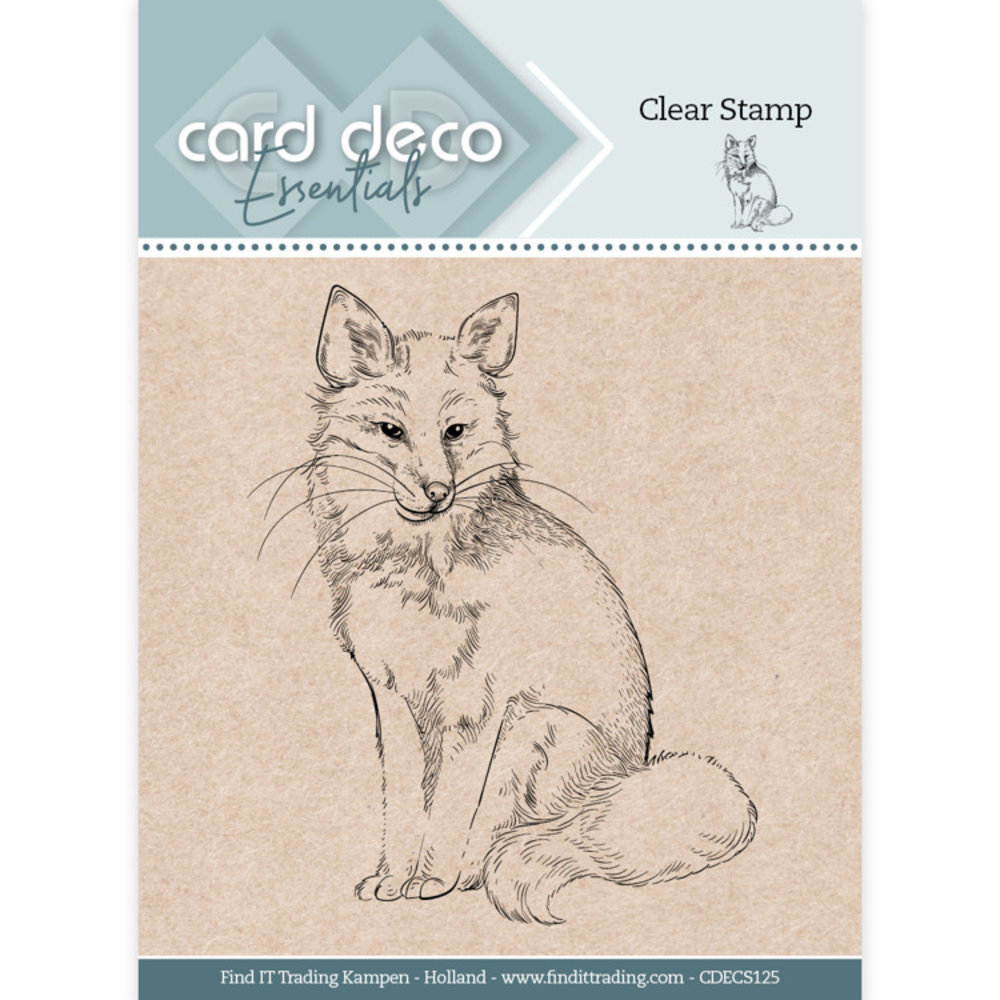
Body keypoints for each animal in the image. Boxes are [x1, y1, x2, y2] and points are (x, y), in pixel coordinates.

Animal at [298, 285, 757, 923]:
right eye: (390, 430)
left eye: (455, 432)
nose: (437, 492)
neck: (412, 573)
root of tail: (636, 773)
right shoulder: (391, 697)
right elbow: (404, 807)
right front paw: (390, 879)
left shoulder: (474, 706)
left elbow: (448, 813)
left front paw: (429, 880)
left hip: (535, 726)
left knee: (511, 832)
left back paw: (468, 874)